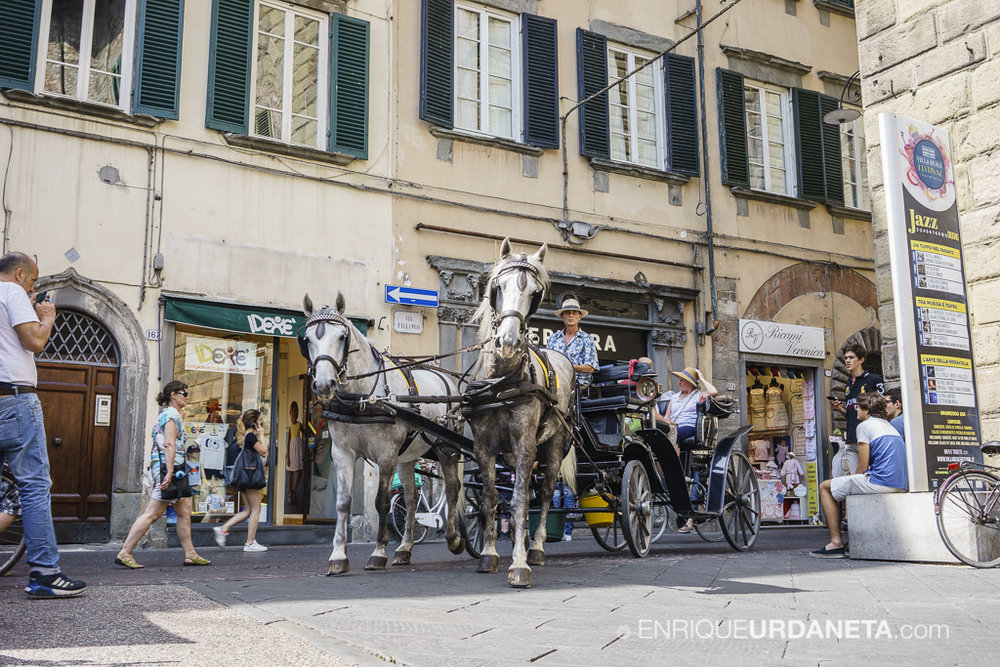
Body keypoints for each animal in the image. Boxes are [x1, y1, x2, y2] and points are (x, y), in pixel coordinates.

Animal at [298, 292, 466, 576]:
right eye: (308, 339)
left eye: (341, 337)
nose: (323, 385)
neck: (363, 397)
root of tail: (449, 381)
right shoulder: (342, 453)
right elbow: (343, 503)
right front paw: (338, 556)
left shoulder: (386, 455)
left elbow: (382, 503)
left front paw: (378, 553)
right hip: (408, 457)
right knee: (411, 497)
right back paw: (404, 549)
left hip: (446, 447)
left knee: (453, 487)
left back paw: (454, 539)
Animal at [468, 240, 580, 588]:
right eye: (497, 287)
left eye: (535, 293)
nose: (508, 342)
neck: (501, 382)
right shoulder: (483, 447)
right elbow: (491, 498)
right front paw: (489, 555)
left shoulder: (525, 444)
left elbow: (518, 501)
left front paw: (519, 564)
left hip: (554, 444)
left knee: (542, 494)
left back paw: (537, 547)